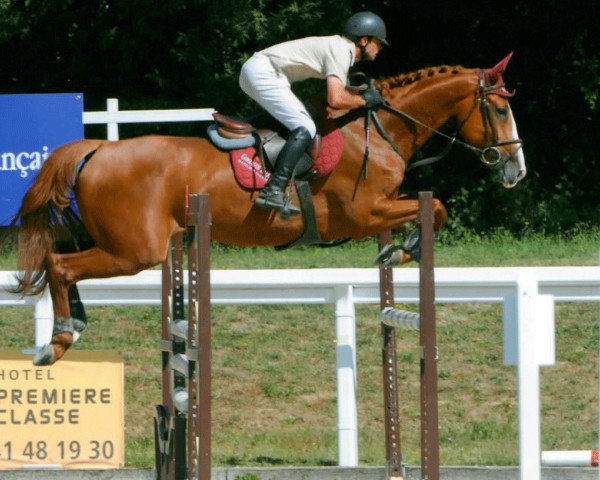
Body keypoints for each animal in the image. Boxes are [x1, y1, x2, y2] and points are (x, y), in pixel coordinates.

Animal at [8, 54, 524, 366]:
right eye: (500, 111)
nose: (515, 170)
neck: (376, 131)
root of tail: (98, 148)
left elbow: (432, 206)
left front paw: (397, 251)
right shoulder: (362, 214)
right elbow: (434, 206)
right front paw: (401, 250)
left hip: (119, 242)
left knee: (60, 264)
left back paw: (72, 326)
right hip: (136, 250)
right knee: (61, 266)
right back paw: (60, 339)